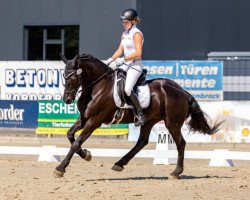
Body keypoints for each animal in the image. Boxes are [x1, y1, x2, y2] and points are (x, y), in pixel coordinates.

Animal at [53, 53, 222, 178]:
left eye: (72, 77)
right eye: (63, 76)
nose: (67, 100)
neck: (97, 87)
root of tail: (182, 91)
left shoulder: (95, 120)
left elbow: (77, 142)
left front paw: (60, 168)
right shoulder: (84, 118)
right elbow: (70, 135)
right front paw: (86, 155)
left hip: (172, 123)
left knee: (180, 143)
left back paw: (176, 172)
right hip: (149, 121)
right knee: (142, 141)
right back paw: (119, 164)